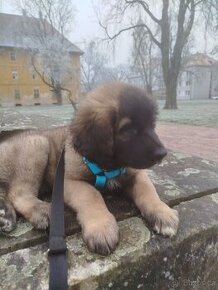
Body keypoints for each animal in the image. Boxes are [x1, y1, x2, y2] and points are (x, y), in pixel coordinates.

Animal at [0, 82, 179, 255]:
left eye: (152, 125)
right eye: (128, 130)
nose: (162, 153)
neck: (109, 166)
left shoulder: (136, 174)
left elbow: (148, 191)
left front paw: (163, 213)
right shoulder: (69, 181)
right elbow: (91, 195)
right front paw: (101, 227)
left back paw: (5, 216)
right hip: (38, 145)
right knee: (18, 194)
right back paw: (43, 211)